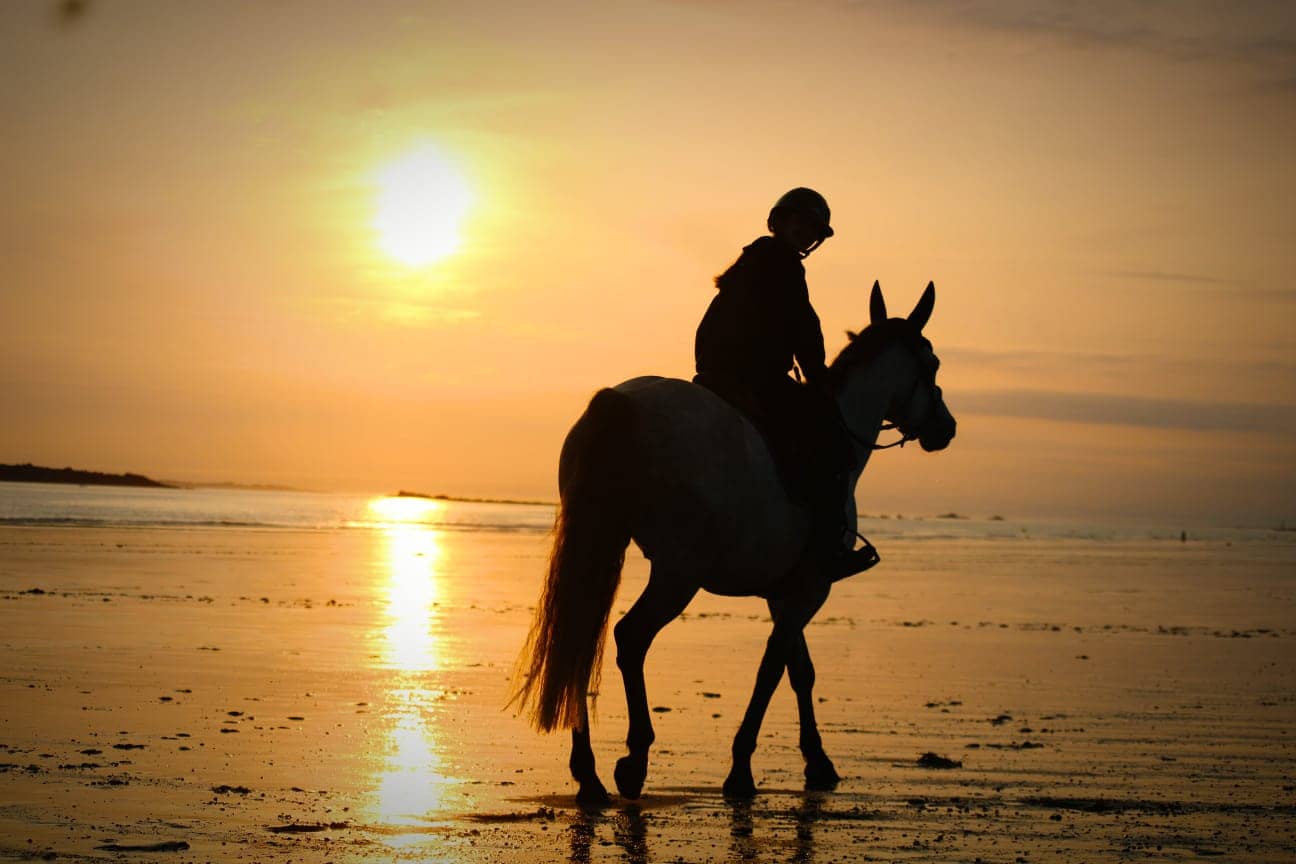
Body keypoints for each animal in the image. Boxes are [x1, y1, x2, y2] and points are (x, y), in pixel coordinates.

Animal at [510, 281, 959, 803]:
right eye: (933, 364)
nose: (946, 427)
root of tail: (622, 404)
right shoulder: (811, 587)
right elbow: (772, 669)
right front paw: (742, 767)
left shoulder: (785, 591)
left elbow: (799, 670)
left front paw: (817, 760)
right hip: (679, 572)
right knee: (631, 637)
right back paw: (634, 760)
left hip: (605, 543)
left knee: (584, 639)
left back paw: (588, 774)